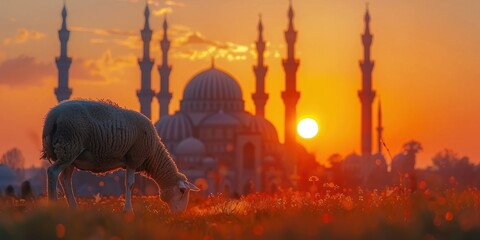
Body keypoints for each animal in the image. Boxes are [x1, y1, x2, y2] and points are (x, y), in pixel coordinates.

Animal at [40, 99, 199, 212]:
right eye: (182, 190)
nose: (180, 214)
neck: (153, 154)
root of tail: (52, 116)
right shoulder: (134, 158)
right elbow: (130, 184)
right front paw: (128, 210)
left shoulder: (130, 160)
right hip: (69, 145)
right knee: (52, 172)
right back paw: (53, 205)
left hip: (70, 154)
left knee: (65, 179)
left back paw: (74, 207)